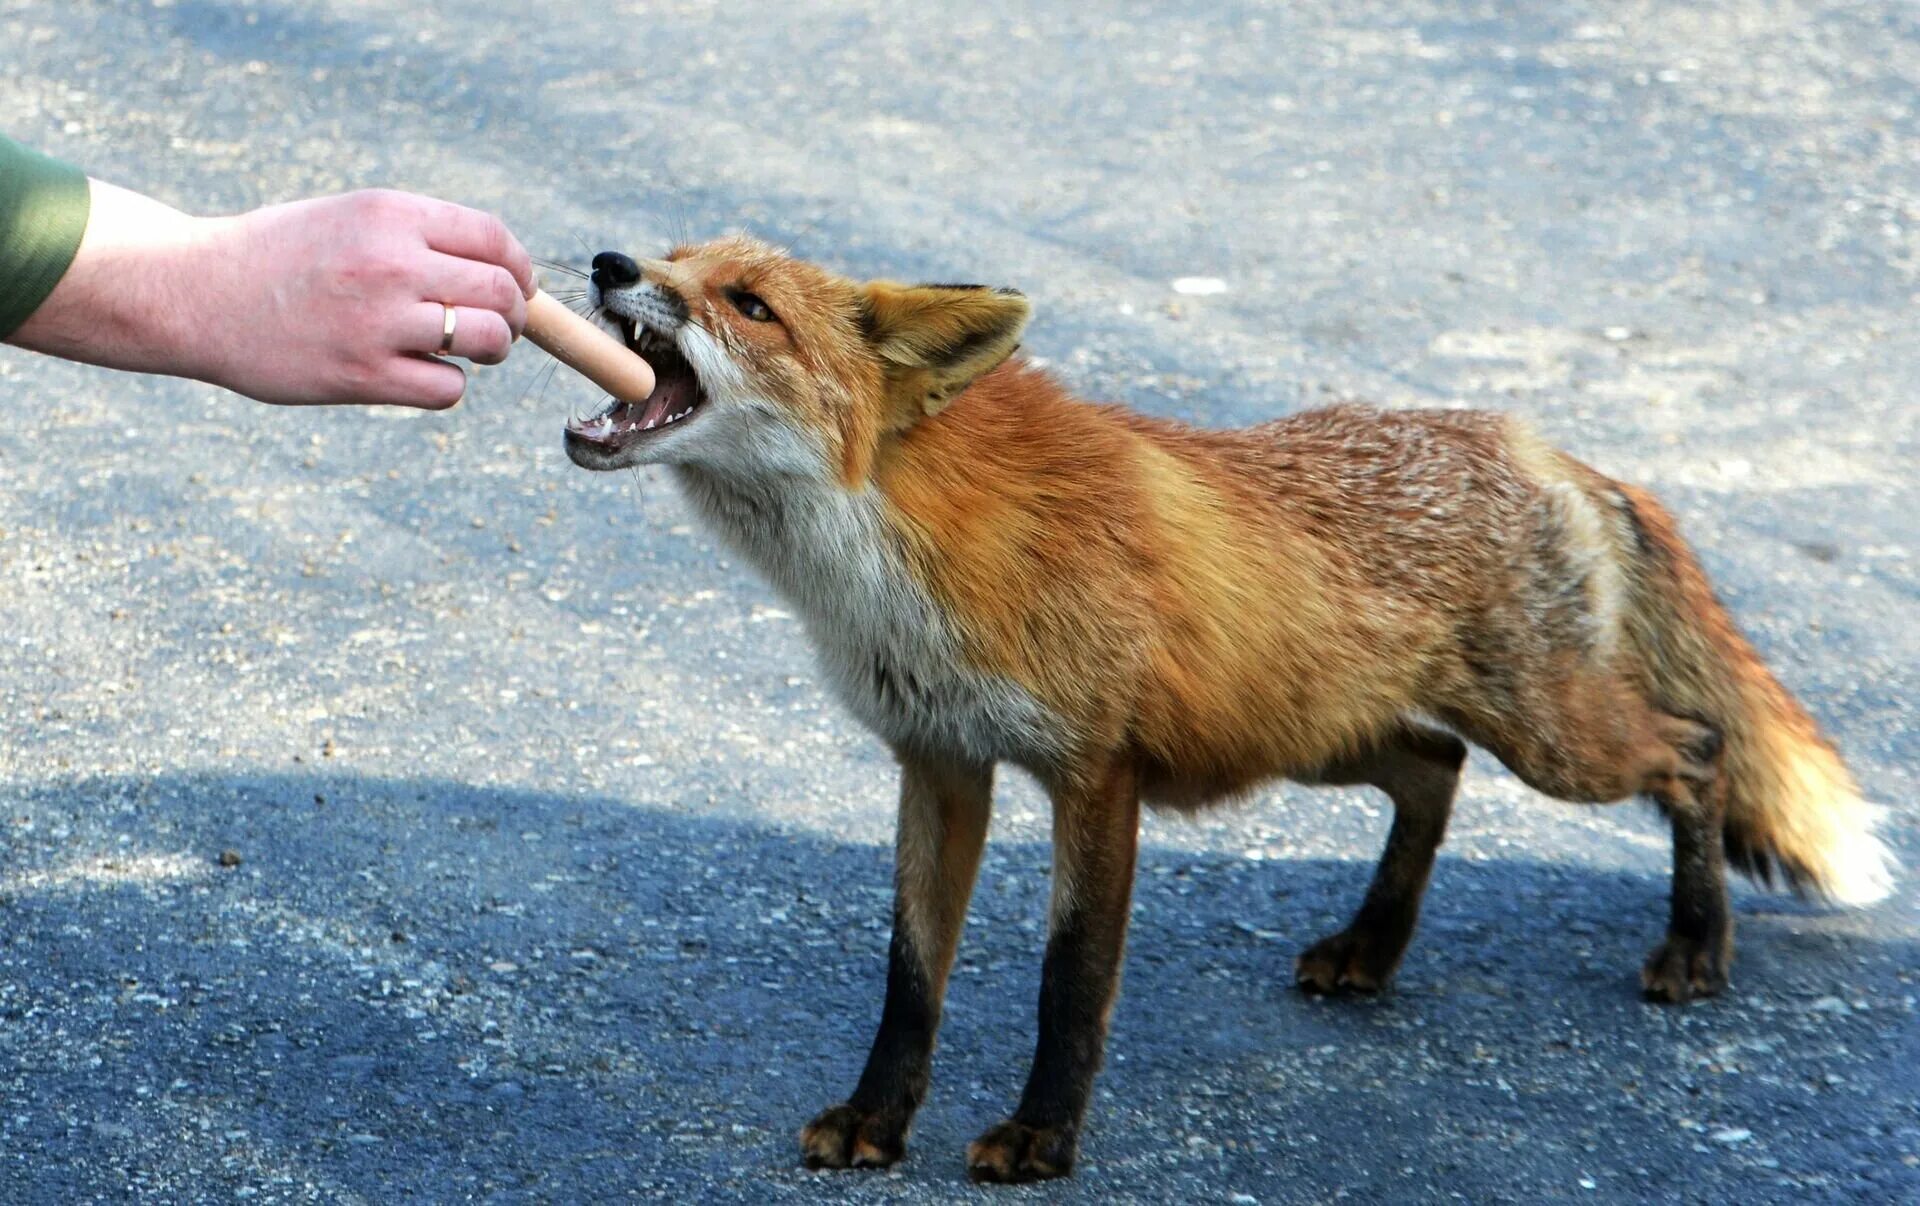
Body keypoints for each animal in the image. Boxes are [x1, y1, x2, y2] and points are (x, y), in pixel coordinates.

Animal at [556, 238, 1889, 1190]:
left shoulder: (1096, 772)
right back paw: (1372, 947)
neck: (895, 556)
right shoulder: (937, 760)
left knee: (1695, 751)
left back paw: (1696, 944)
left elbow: (1070, 981)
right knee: (1436, 767)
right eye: (672, 255)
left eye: (748, 303)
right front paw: (877, 1122)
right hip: (1323, 736)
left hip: (1551, 739)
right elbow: (910, 977)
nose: (609, 263)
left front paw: (1042, 1143)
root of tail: (1546, 447)